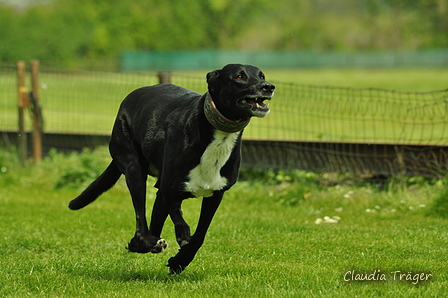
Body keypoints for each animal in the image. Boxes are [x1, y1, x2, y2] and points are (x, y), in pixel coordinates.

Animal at [68, 64, 274, 274]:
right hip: (134, 169)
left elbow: (200, 235)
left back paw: (182, 232)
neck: (215, 135)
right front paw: (143, 245)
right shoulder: (165, 192)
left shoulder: (215, 193)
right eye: (239, 76)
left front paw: (180, 261)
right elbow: (154, 226)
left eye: (261, 76)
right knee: (141, 217)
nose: (268, 86)